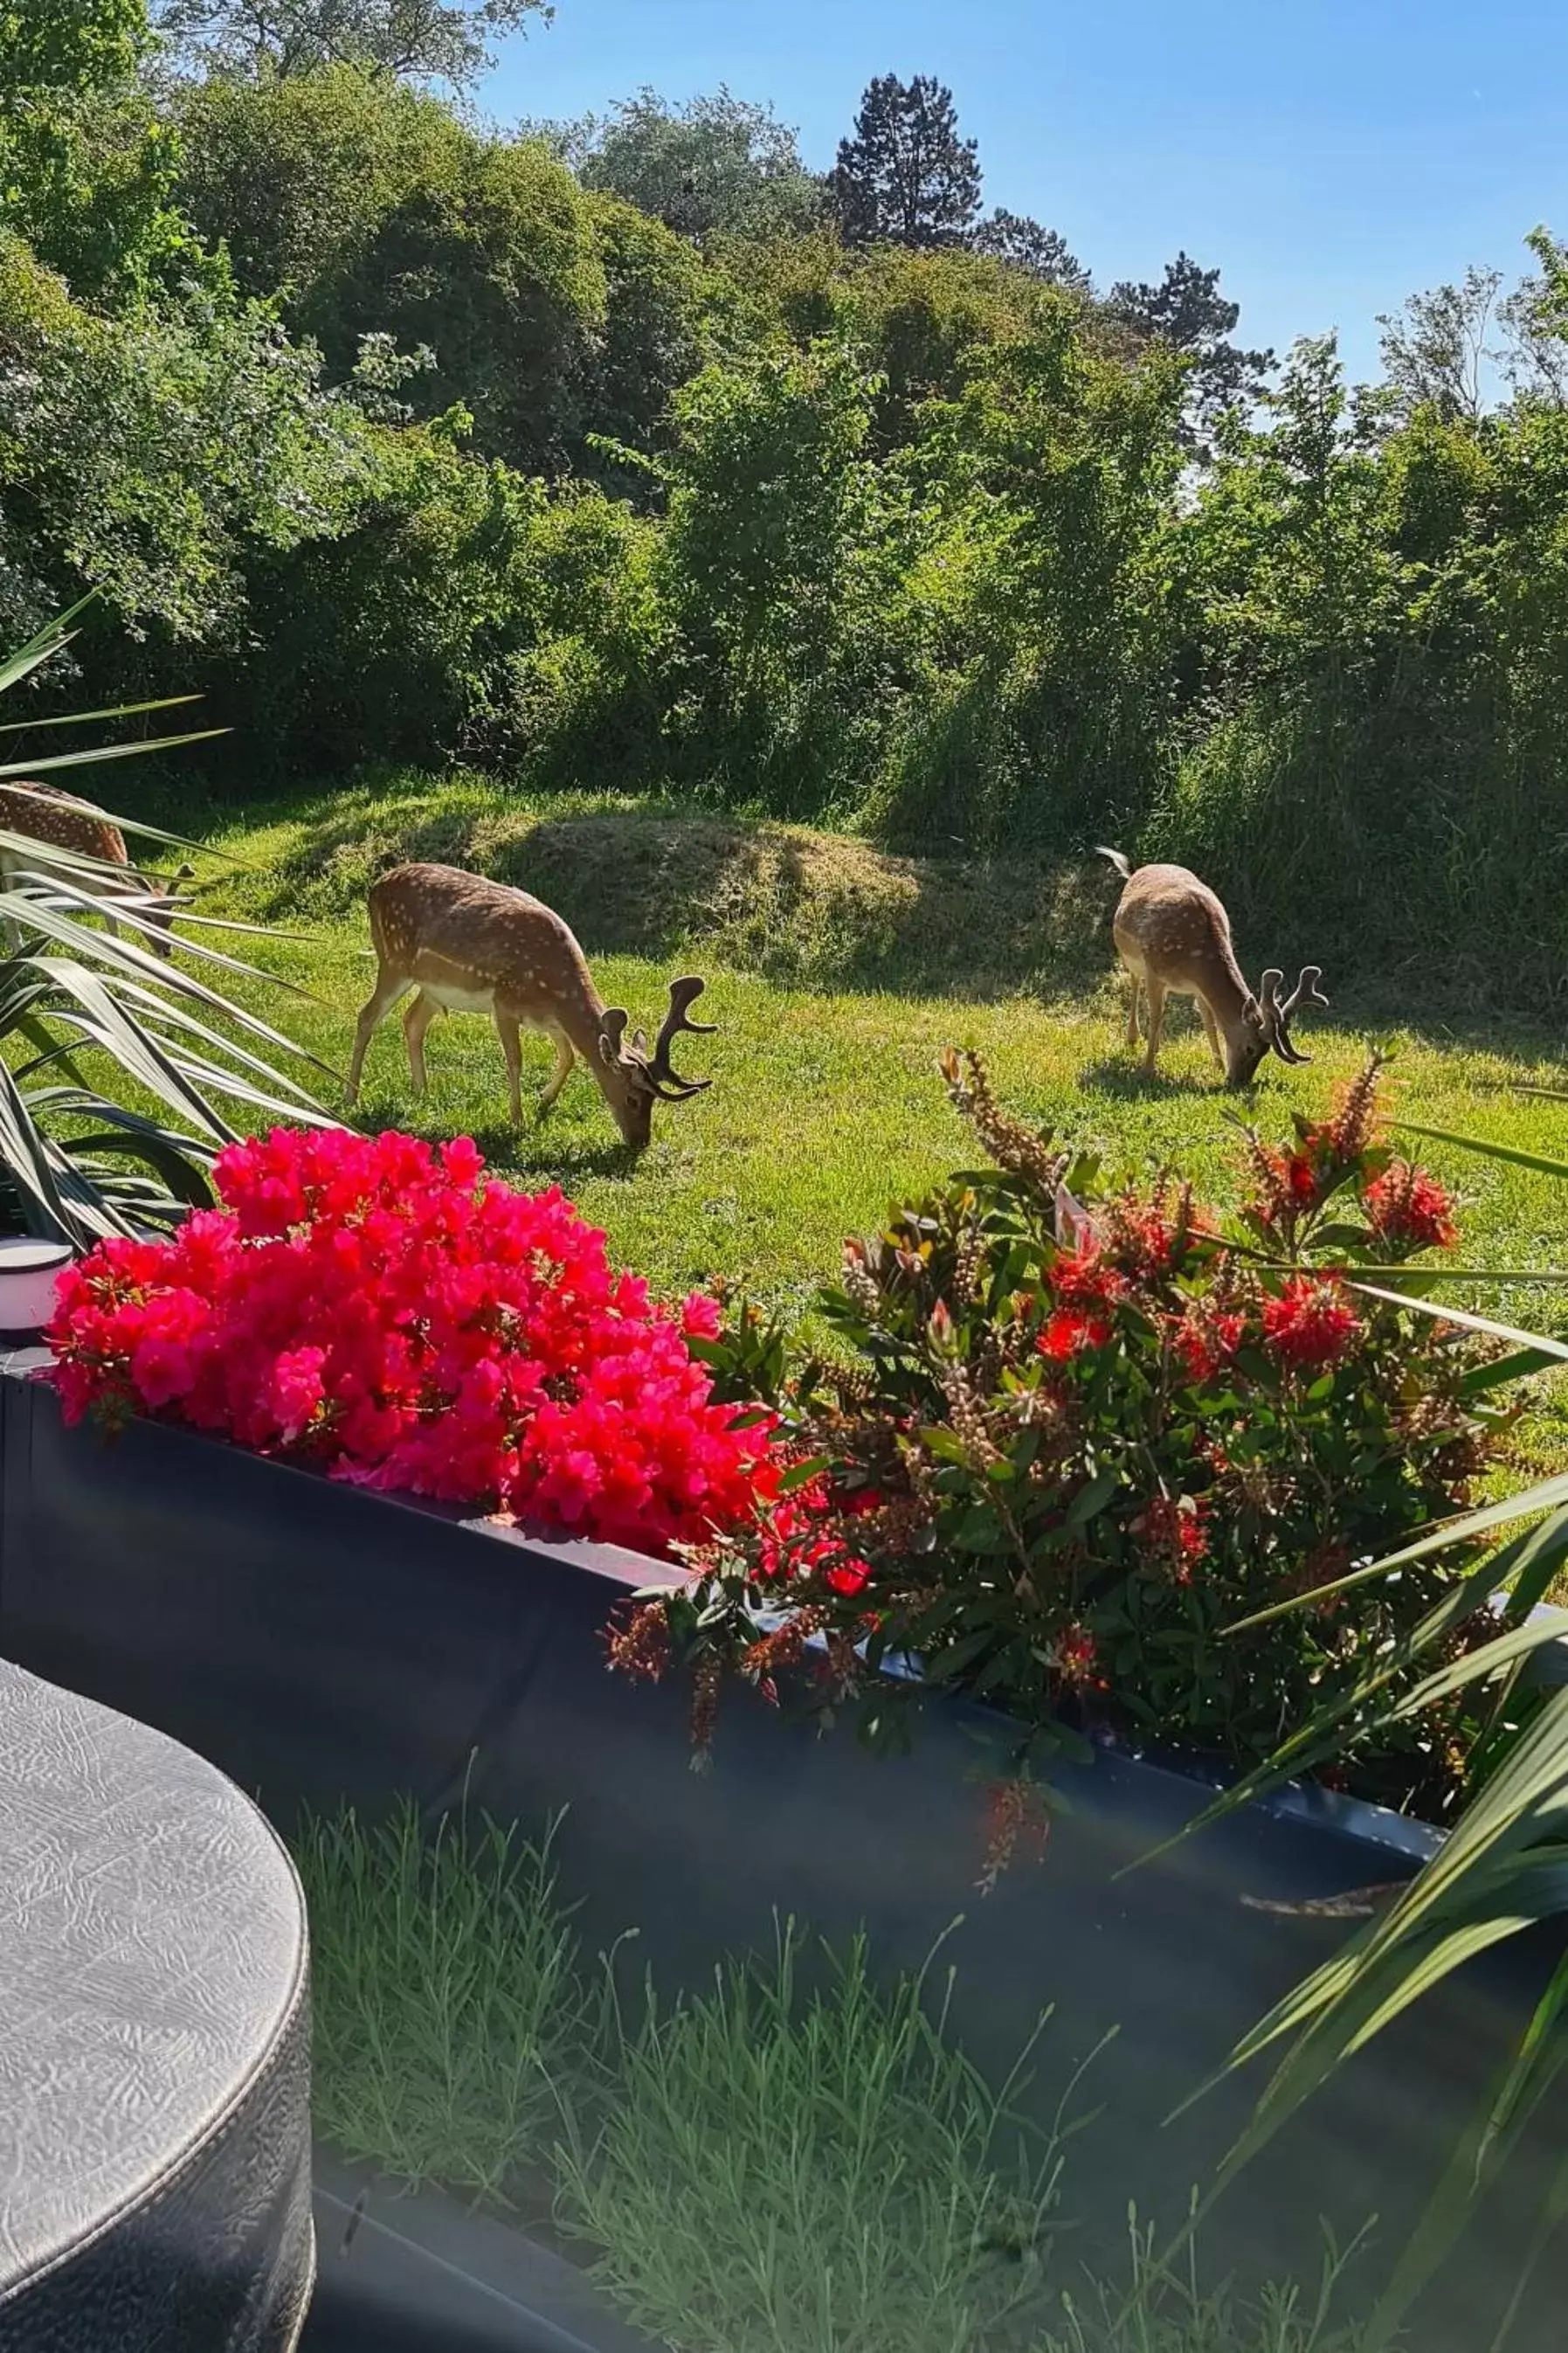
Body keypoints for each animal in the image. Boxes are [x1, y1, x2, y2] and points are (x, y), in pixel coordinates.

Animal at [0, 772, 192, 955]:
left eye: (171, 919)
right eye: (147, 918)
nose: (166, 951)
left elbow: (112, 922)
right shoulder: (60, 874)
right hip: (8, 859)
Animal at [348, 866, 719, 1157]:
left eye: (653, 1101)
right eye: (632, 1099)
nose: (640, 1142)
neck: (554, 988)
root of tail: (375, 887)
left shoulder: (550, 1020)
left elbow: (569, 1056)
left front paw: (544, 1101)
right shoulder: (504, 1002)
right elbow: (515, 1060)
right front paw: (517, 1119)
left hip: (431, 986)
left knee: (412, 1021)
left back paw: (421, 1092)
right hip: (393, 960)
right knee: (366, 1016)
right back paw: (352, 1096)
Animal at [1100, 851, 1335, 1087]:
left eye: (1265, 1052)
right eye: (1250, 1048)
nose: (1239, 1082)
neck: (1195, 958)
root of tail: (1138, 870)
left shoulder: (1198, 986)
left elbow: (1209, 1021)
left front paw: (1218, 1066)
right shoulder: (1154, 971)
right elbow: (1156, 1015)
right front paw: (1147, 1070)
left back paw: (1155, 1045)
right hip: (1130, 957)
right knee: (1135, 985)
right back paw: (1132, 1039)